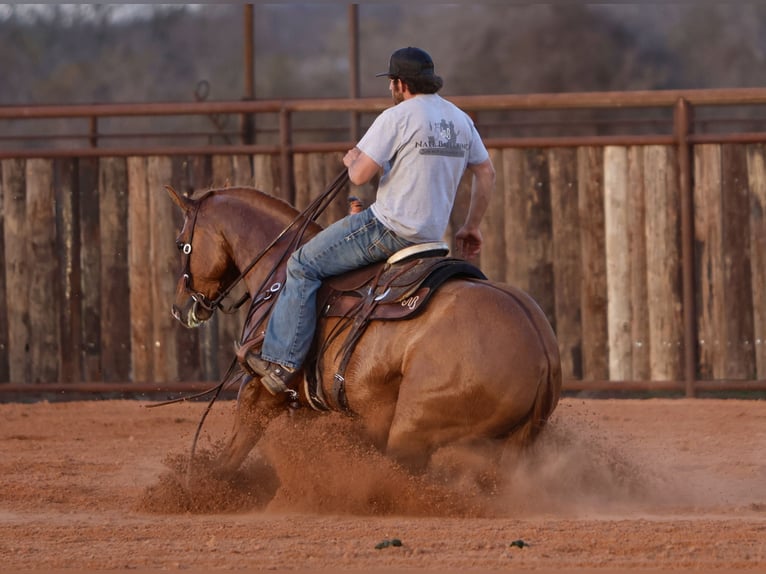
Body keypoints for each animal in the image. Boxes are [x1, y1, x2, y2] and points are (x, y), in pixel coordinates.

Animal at [166, 182, 564, 480]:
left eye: (181, 242)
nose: (180, 307)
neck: (279, 274)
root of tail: (541, 351)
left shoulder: (259, 390)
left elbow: (231, 455)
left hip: (412, 430)